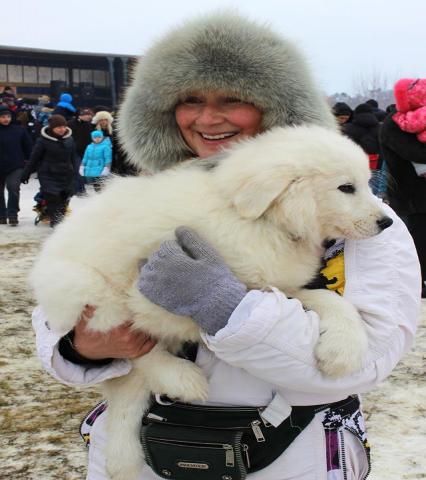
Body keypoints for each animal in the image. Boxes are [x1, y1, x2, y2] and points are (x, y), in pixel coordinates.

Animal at [32, 125, 392, 478]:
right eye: (346, 187)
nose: (386, 222)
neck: (259, 221)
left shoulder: (272, 287)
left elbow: (329, 300)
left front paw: (343, 351)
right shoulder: (147, 287)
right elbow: (154, 329)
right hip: (85, 286)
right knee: (130, 348)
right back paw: (180, 378)